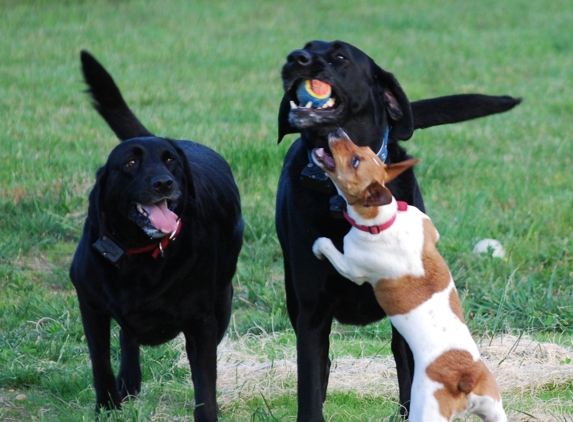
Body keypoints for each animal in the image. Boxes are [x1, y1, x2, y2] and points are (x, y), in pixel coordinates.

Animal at [70, 51, 242, 420]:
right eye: (131, 163)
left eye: (171, 161)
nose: (164, 182)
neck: (140, 252)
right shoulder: (90, 304)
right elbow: (100, 362)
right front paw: (107, 406)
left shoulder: (202, 320)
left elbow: (204, 381)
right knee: (127, 339)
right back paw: (128, 382)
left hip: (223, 302)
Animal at [310, 129, 502, 422]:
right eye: (364, 150)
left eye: (355, 161)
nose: (337, 131)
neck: (383, 219)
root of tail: (464, 377)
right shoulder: (427, 227)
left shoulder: (351, 266)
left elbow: (328, 247)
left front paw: (318, 247)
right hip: (494, 406)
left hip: (426, 410)